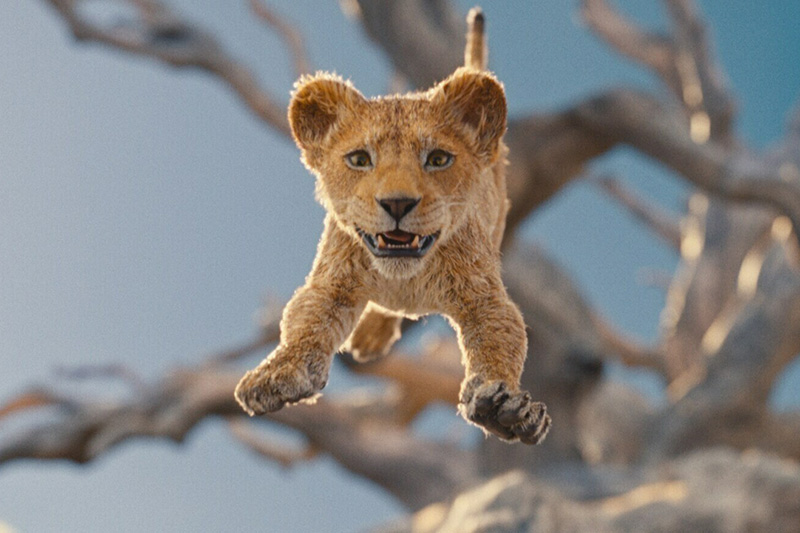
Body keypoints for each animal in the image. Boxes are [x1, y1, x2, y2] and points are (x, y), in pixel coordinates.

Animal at [235, 8, 550, 444]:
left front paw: (502, 407)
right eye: (359, 159)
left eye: (438, 159)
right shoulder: (331, 282)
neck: (405, 277)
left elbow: (501, 340)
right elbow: (304, 323)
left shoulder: (484, 297)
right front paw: (277, 373)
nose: (397, 203)